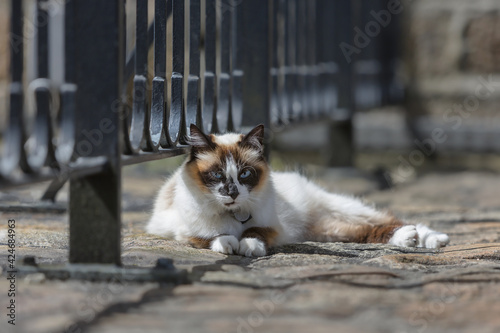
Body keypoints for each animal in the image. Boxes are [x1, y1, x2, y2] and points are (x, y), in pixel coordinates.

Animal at [146, 124, 452, 256]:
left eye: (245, 174)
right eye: (217, 175)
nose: (232, 193)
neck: (233, 215)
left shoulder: (272, 228)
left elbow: (254, 232)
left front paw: (248, 247)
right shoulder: (185, 232)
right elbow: (216, 237)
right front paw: (230, 245)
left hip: (341, 209)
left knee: (388, 221)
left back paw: (430, 239)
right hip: (329, 231)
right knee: (366, 233)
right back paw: (410, 239)